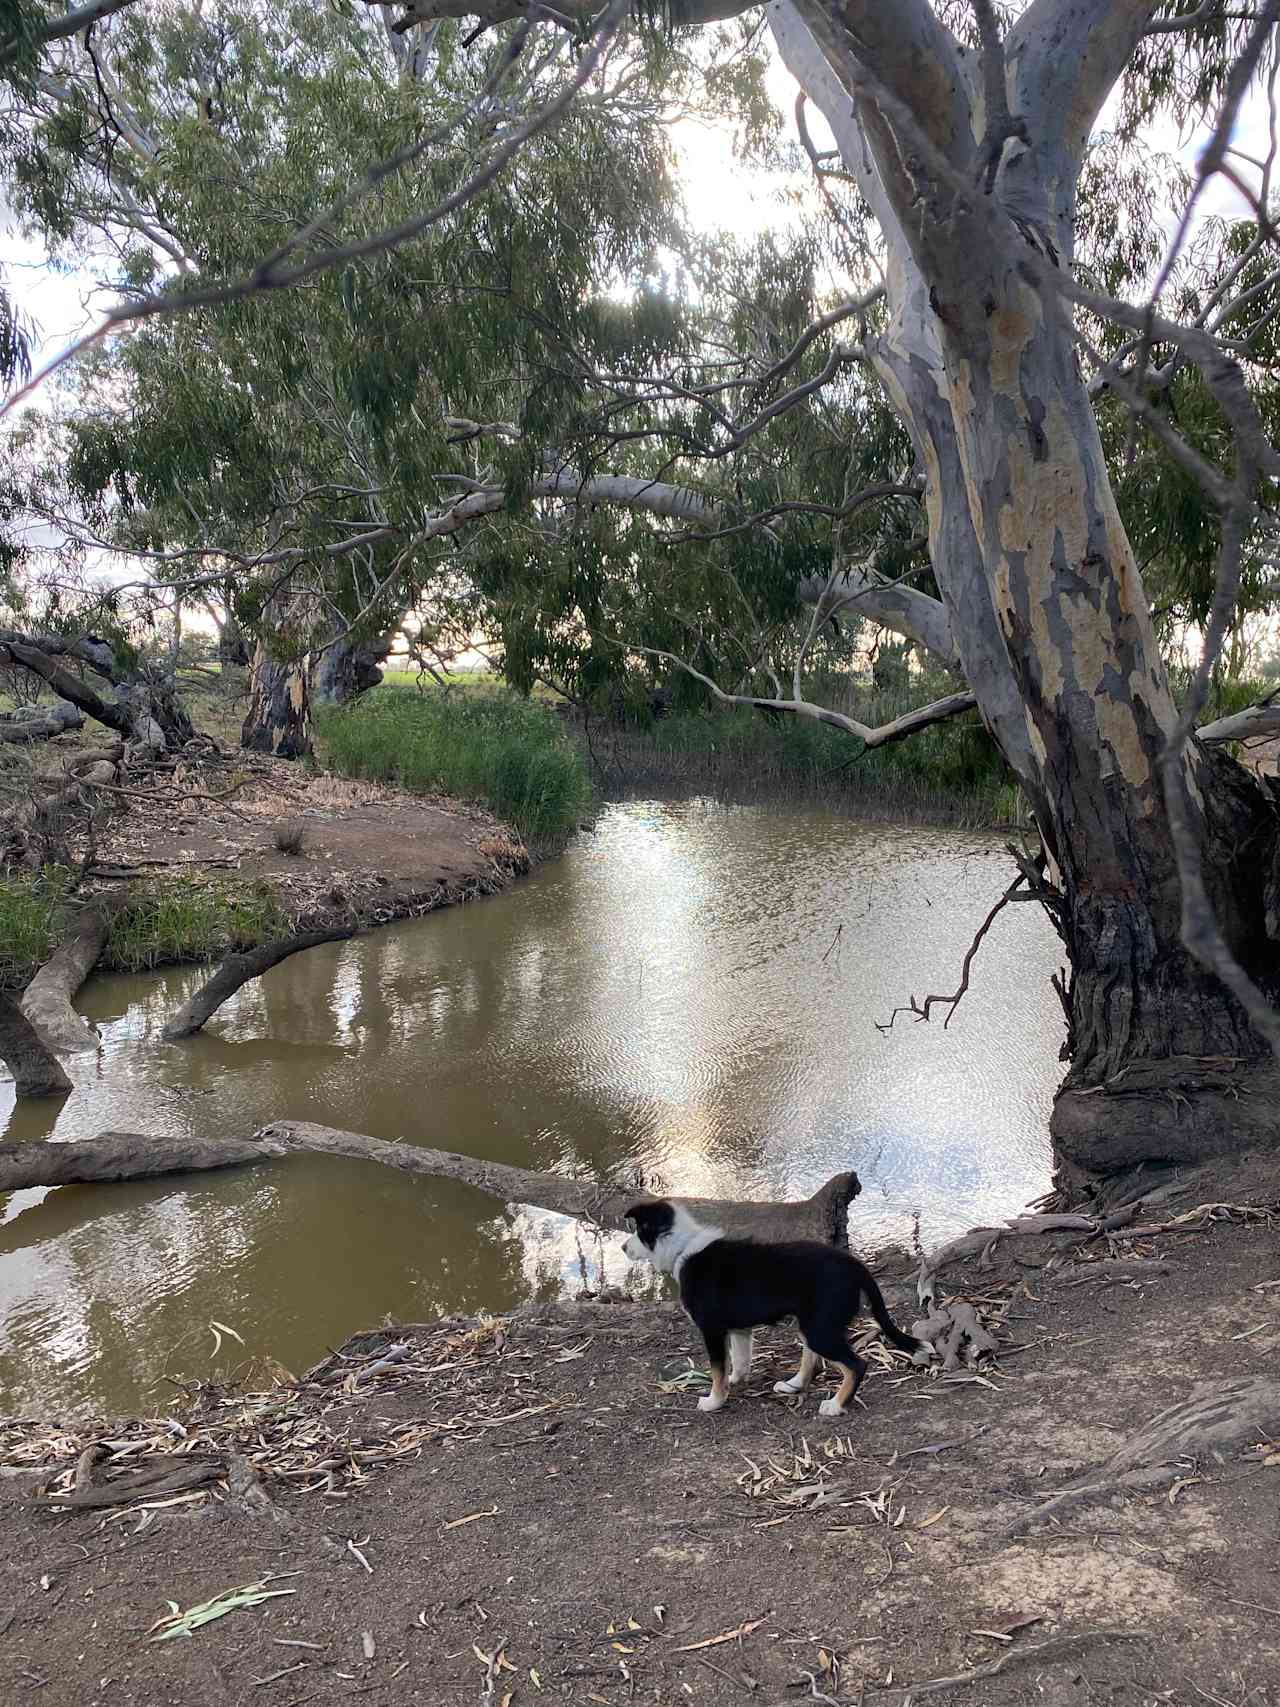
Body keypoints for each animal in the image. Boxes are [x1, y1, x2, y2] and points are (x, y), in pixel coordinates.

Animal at [624, 1194, 935, 1420]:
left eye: (638, 1232)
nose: (624, 1249)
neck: (682, 1248)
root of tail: (855, 1265)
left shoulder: (711, 1330)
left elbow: (717, 1369)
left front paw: (714, 1400)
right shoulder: (739, 1329)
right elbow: (739, 1360)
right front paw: (735, 1381)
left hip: (819, 1329)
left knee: (855, 1365)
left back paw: (835, 1405)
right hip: (813, 1323)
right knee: (812, 1360)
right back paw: (794, 1385)